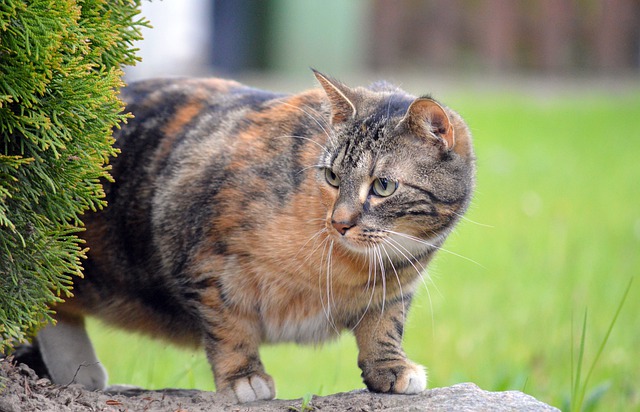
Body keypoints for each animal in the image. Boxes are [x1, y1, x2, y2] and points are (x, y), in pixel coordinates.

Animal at [26, 71, 476, 402]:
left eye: (383, 186)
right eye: (332, 177)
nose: (340, 222)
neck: (350, 265)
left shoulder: (394, 287)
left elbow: (384, 324)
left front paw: (391, 368)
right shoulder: (206, 262)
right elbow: (229, 325)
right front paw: (243, 377)